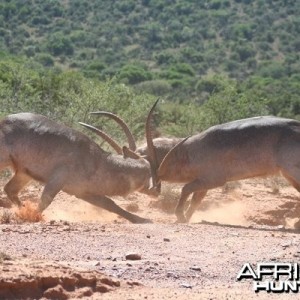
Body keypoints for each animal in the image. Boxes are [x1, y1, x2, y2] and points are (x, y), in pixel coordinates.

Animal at [0, 106, 158, 224]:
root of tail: (4, 121)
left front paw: (142, 219)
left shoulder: (83, 192)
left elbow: (110, 204)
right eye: (151, 171)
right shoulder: (58, 180)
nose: (158, 189)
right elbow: (45, 201)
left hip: (24, 173)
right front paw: (31, 217)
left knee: (10, 189)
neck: (99, 161)